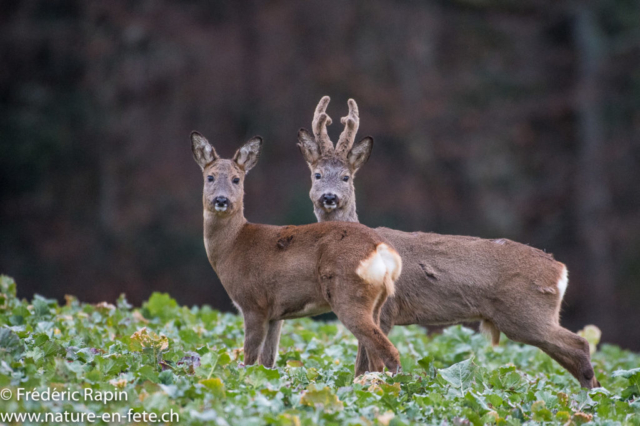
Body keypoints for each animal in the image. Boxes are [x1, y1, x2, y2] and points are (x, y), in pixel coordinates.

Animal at [188, 130, 402, 372]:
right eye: (210, 177)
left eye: (236, 179)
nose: (221, 200)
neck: (233, 244)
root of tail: (381, 250)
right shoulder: (275, 314)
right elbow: (267, 361)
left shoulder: (254, 304)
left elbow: (249, 358)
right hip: (376, 303)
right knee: (376, 357)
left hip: (349, 296)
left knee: (389, 351)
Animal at [296, 97, 600, 390]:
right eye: (317, 174)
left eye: (346, 177)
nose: (329, 197)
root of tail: (560, 270)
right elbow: (360, 369)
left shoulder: (385, 311)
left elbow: (368, 366)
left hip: (527, 314)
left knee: (581, 344)